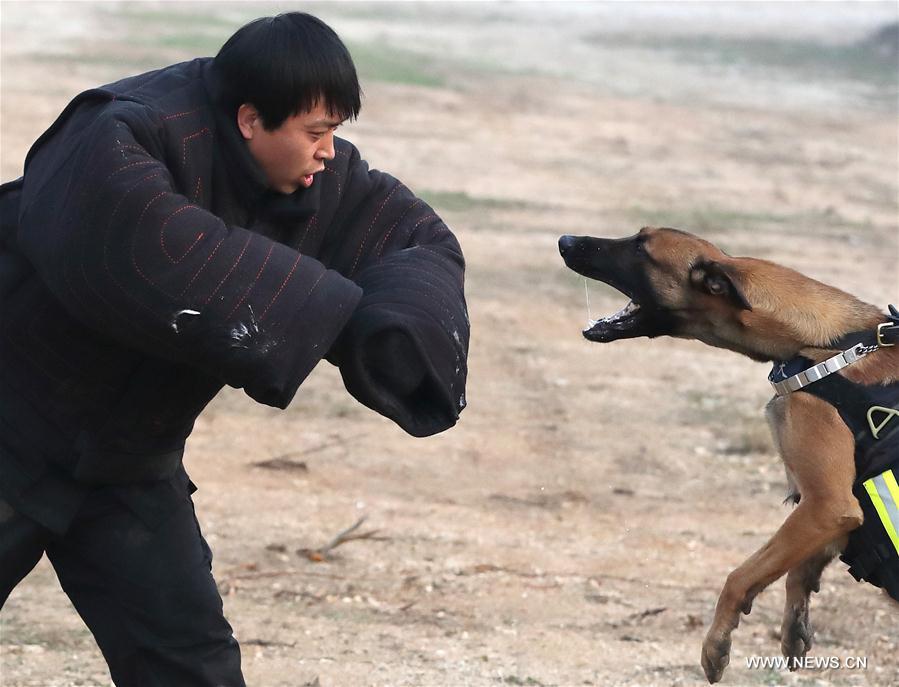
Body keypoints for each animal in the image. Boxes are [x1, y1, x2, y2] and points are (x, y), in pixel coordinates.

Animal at [560, 227, 896, 684]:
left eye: (640, 247)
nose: (564, 240)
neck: (824, 343)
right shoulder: (827, 513)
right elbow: (794, 570)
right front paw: (794, 625)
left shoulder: (829, 505)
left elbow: (739, 576)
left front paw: (717, 642)